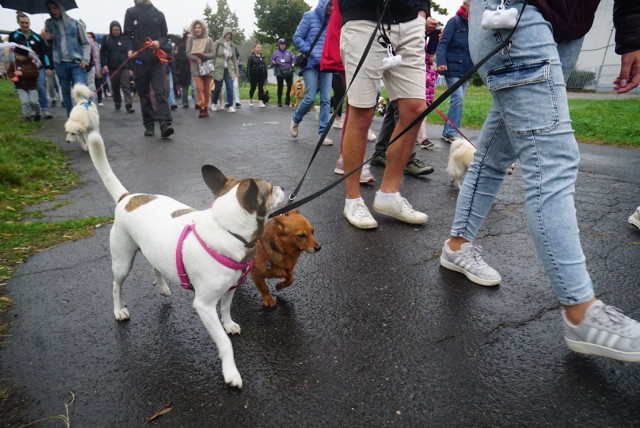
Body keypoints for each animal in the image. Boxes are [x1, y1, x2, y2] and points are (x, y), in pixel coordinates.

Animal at [85, 130, 284, 388]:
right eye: (270, 190)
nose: (282, 187)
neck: (227, 229)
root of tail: (127, 198)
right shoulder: (204, 306)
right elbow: (223, 341)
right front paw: (230, 371)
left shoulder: (230, 288)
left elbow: (226, 308)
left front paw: (229, 323)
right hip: (122, 261)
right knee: (116, 285)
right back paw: (119, 309)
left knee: (155, 266)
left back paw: (161, 286)